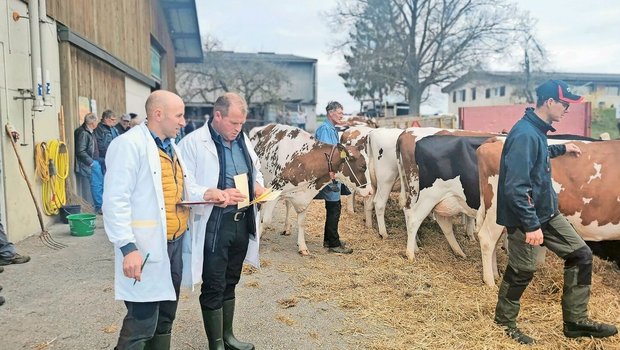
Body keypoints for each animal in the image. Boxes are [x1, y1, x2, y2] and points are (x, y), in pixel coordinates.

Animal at [248, 123, 372, 254]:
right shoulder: (275, 189)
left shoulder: (304, 196)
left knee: (287, 204)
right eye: (363, 167)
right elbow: (266, 220)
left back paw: (286, 227)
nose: (370, 191)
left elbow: (301, 222)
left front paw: (302, 246)